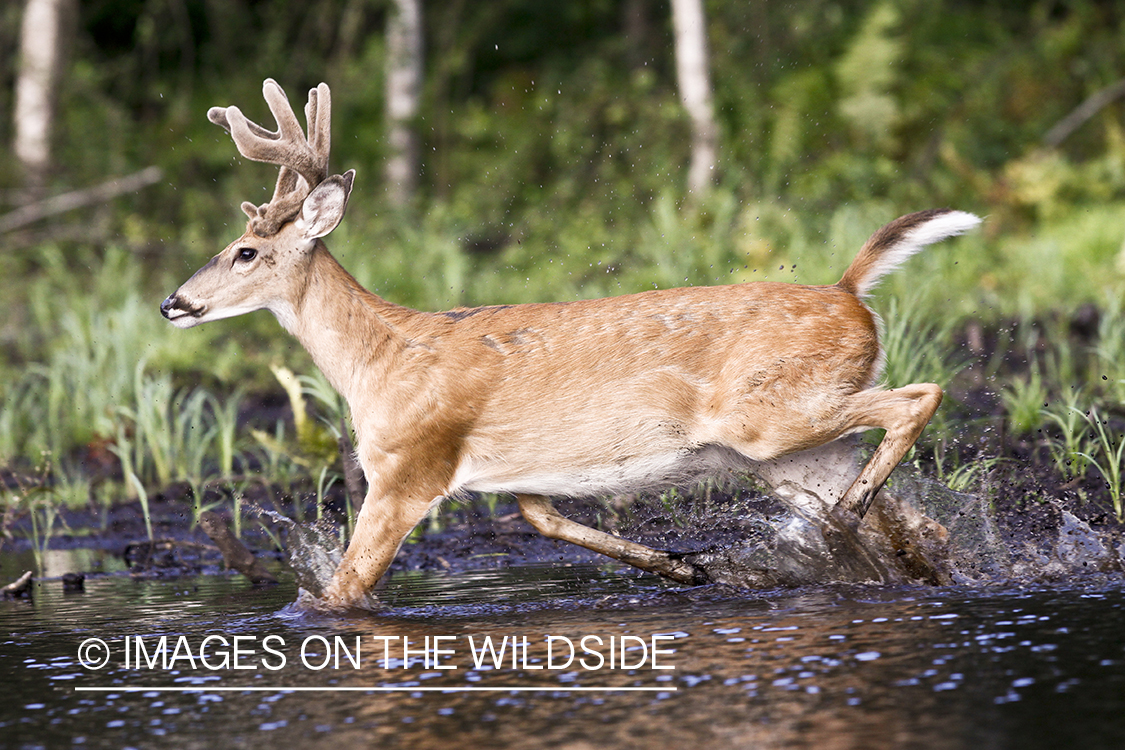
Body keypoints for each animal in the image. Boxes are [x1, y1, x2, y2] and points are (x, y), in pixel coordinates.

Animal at [161, 79, 981, 609]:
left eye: (244, 251)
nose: (174, 302)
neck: (379, 360)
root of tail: (848, 293)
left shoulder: (408, 465)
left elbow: (344, 589)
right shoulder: (520, 472)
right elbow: (542, 519)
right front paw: (683, 569)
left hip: (774, 415)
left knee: (920, 396)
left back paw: (848, 520)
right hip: (784, 453)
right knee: (920, 524)